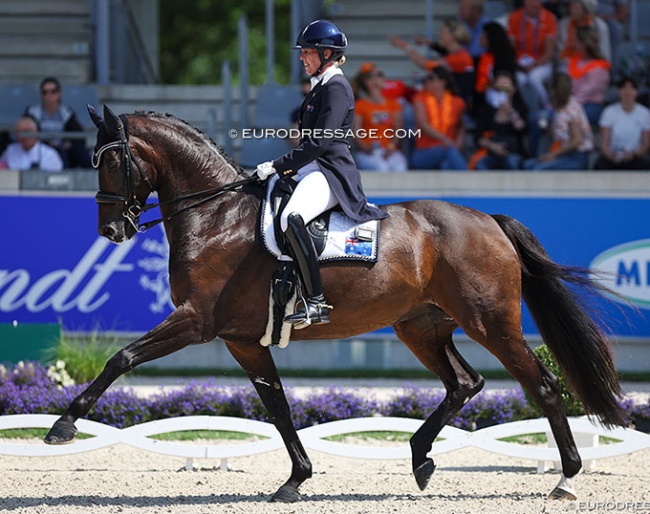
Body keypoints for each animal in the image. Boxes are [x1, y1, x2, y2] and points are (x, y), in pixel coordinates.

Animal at [43, 104, 624, 500]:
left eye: (111, 162)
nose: (111, 230)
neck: (216, 217)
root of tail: (489, 221)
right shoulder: (241, 339)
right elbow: (277, 406)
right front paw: (296, 480)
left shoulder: (196, 322)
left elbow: (122, 357)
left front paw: (63, 426)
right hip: (421, 326)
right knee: (465, 383)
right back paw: (420, 459)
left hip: (490, 322)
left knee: (542, 386)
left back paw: (566, 479)